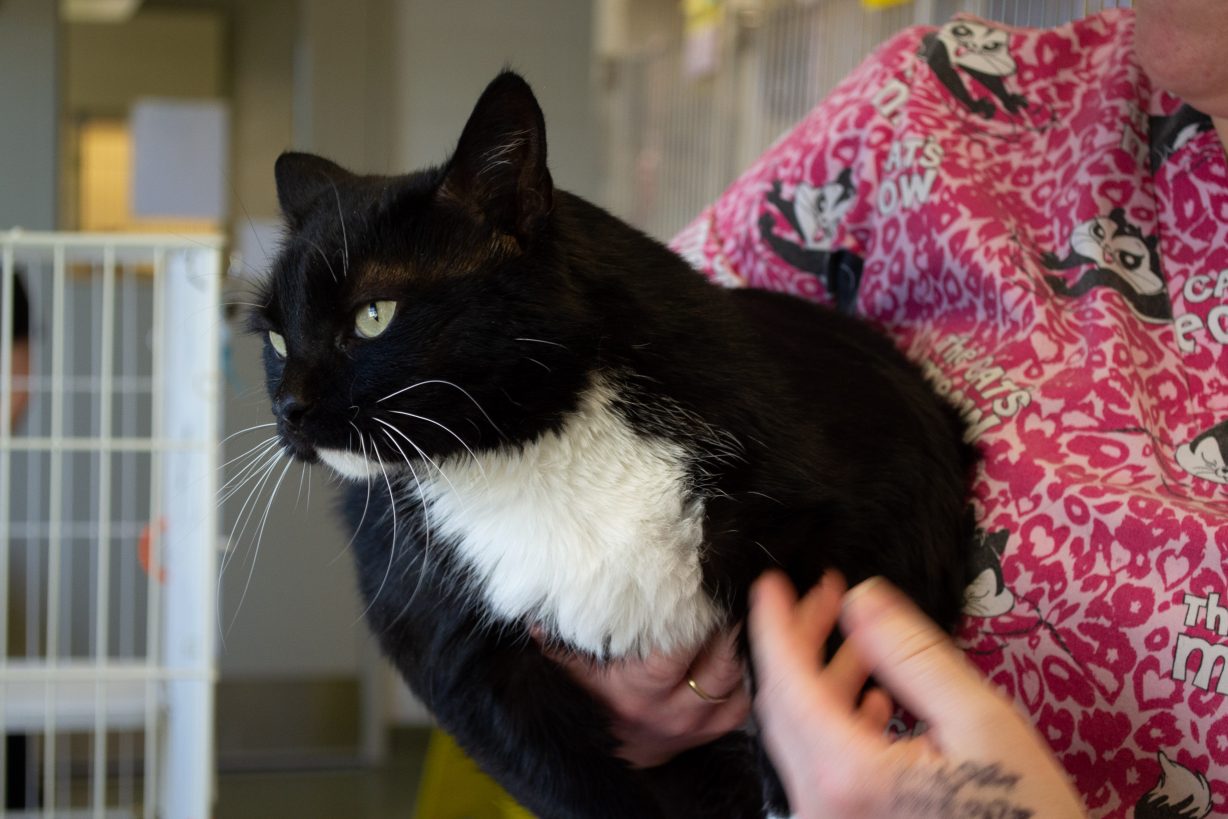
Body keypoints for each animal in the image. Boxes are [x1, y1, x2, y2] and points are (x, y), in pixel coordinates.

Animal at [252, 71, 976, 819]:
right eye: (275, 338)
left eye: (373, 315)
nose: (289, 408)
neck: (534, 452)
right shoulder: (440, 635)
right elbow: (565, 779)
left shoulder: (874, 502)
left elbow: (798, 670)